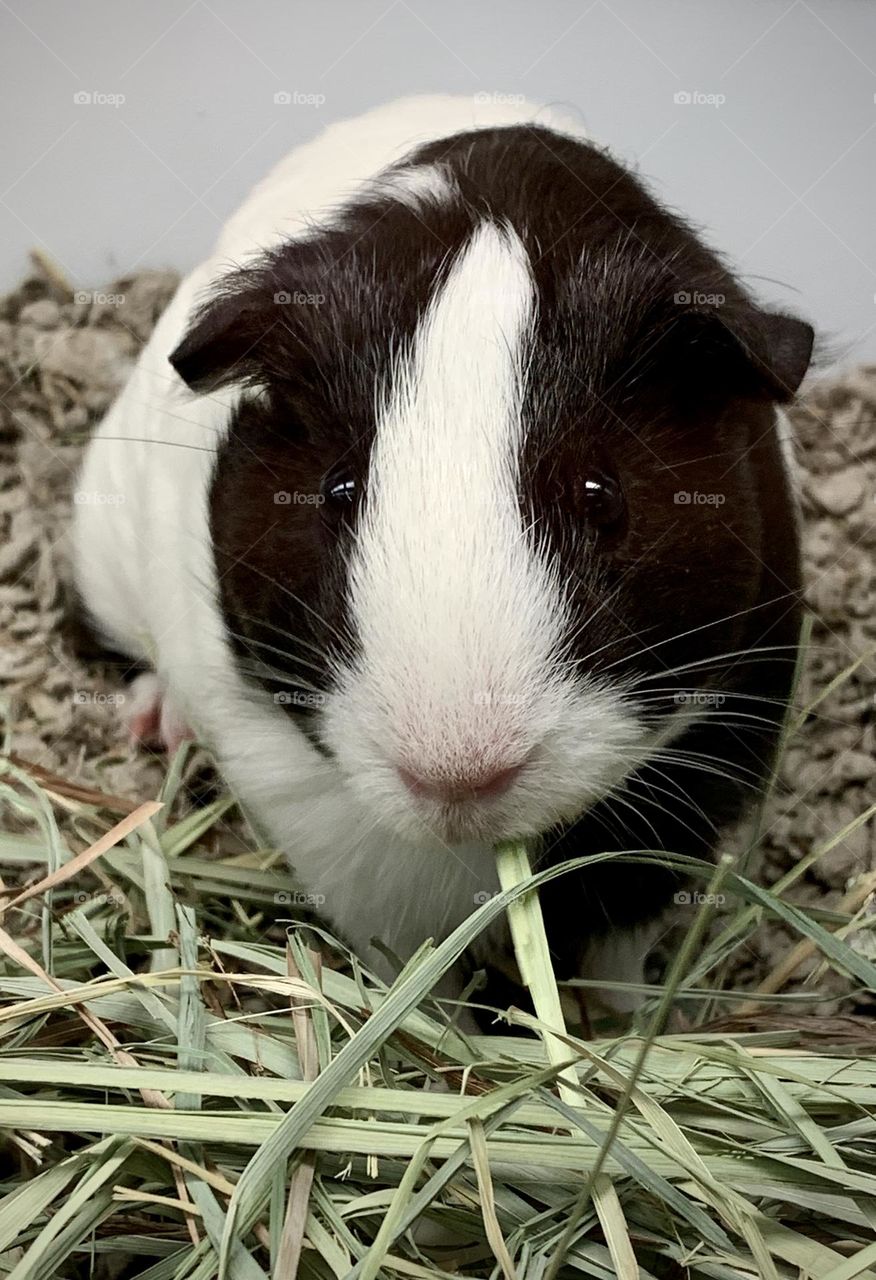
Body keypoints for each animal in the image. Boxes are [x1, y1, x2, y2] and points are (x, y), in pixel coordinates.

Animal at [72, 95, 814, 1016]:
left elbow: (619, 942)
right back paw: (155, 723)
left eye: (602, 493)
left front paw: (615, 1024)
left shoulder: (707, 755)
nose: (456, 773)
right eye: (339, 488)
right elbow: (407, 949)